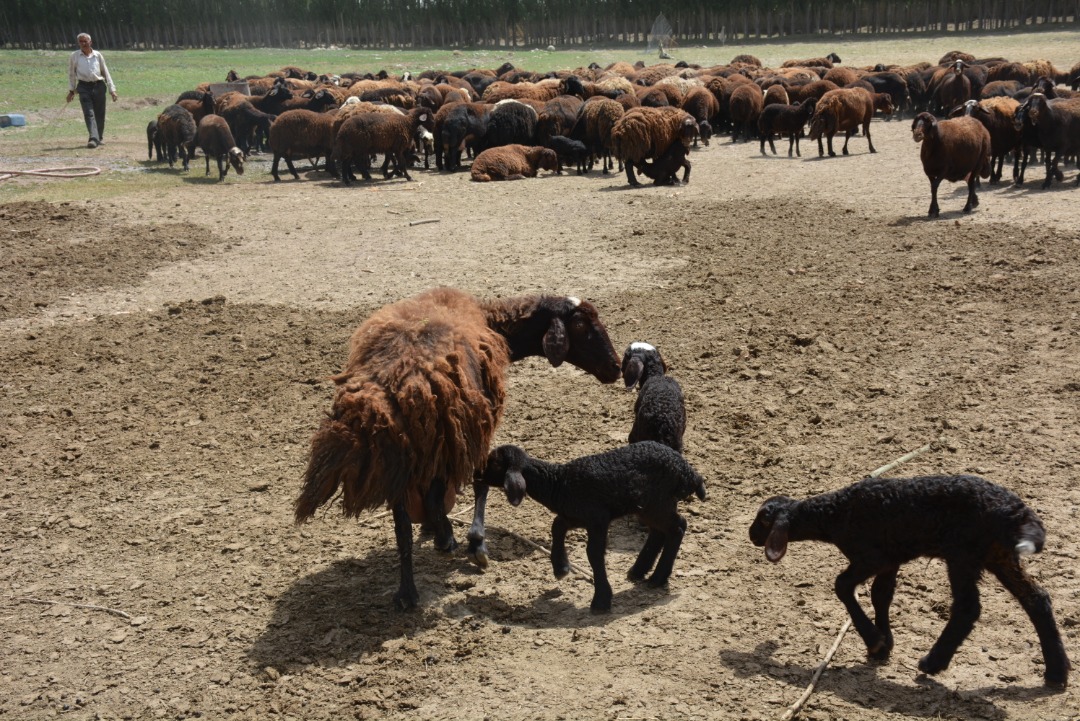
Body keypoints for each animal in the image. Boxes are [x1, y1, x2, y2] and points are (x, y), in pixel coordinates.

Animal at [295, 287, 622, 608]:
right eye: (579, 325)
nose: (616, 367)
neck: (492, 321)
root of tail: (390, 389)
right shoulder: (475, 430)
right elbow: (480, 483)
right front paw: (475, 543)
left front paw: (435, 532)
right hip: (444, 440)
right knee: (433, 500)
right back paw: (446, 540)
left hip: (403, 456)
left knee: (402, 526)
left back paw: (408, 592)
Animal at [483, 440, 704, 613]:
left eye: (494, 463)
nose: (478, 474)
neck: (559, 483)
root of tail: (688, 471)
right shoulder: (576, 516)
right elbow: (556, 526)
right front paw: (561, 568)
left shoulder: (597, 518)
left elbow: (594, 553)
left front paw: (601, 600)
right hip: (649, 505)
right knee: (660, 531)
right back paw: (639, 571)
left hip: (658, 501)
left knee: (678, 526)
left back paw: (657, 578)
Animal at [751, 474, 1071, 690]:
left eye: (763, 519)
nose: (751, 535)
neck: (834, 515)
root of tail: (1018, 514)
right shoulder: (890, 560)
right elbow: (881, 595)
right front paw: (883, 645)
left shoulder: (871, 557)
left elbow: (842, 585)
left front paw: (875, 642)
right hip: (999, 554)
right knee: (1037, 599)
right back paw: (1056, 673)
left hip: (963, 552)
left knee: (968, 607)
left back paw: (933, 662)